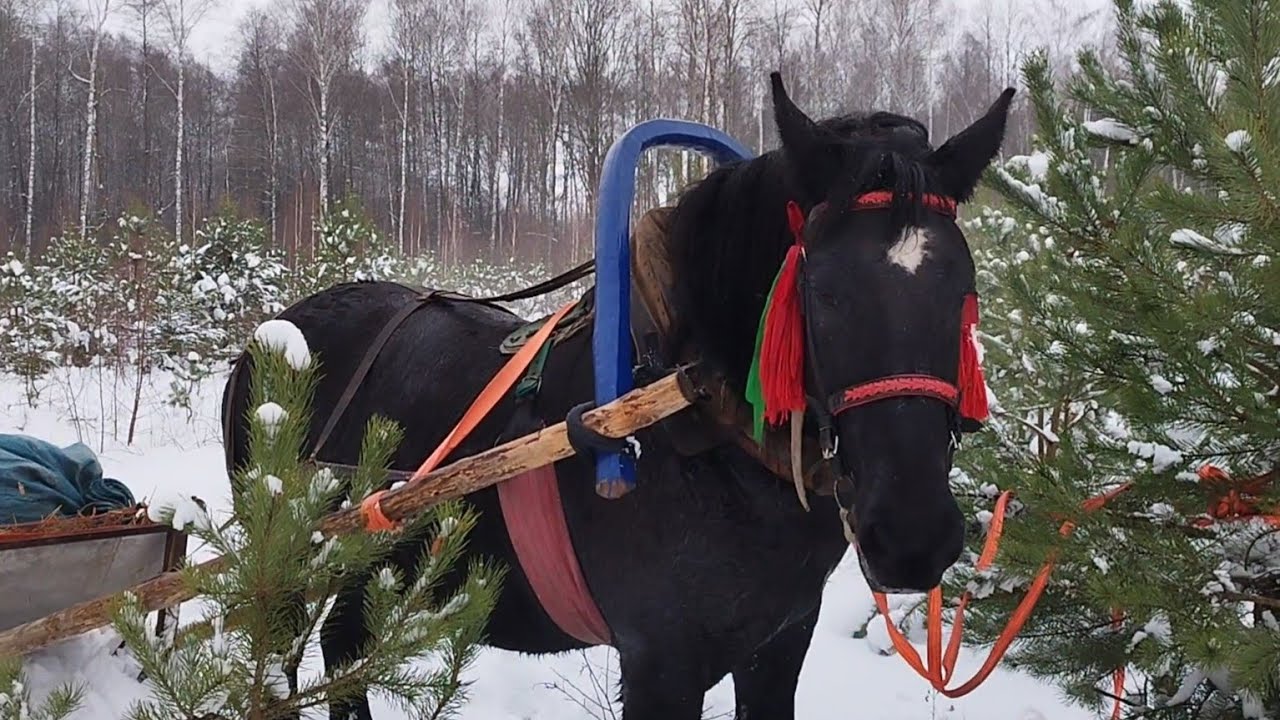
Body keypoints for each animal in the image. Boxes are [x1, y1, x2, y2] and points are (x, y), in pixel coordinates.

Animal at [221, 72, 1015, 720]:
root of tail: (275, 328)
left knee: (344, 650)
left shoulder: (778, 646)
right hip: (288, 555)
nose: (913, 536)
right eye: (822, 291)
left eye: (965, 289)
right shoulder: (661, 666)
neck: (696, 425)